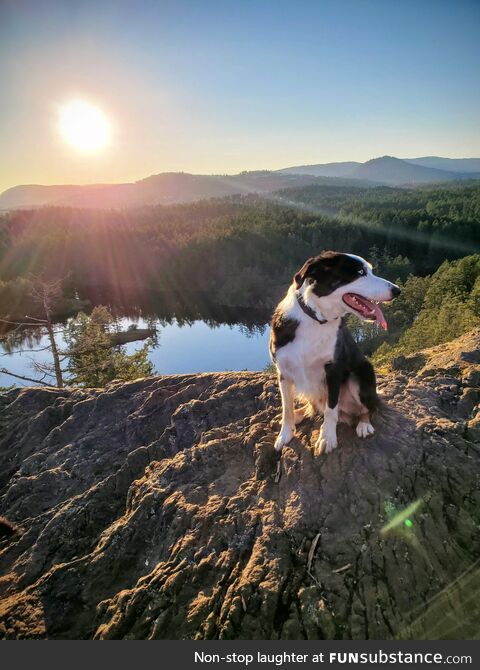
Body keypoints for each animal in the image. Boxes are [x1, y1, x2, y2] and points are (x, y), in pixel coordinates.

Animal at [270, 252, 402, 456]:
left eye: (370, 270)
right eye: (360, 272)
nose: (397, 290)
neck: (315, 319)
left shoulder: (333, 370)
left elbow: (331, 409)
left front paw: (327, 438)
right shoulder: (283, 371)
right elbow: (287, 407)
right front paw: (285, 433)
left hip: (361, 376)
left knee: (368, 408)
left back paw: (364, 424)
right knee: (312, 406)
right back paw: (301, 413)